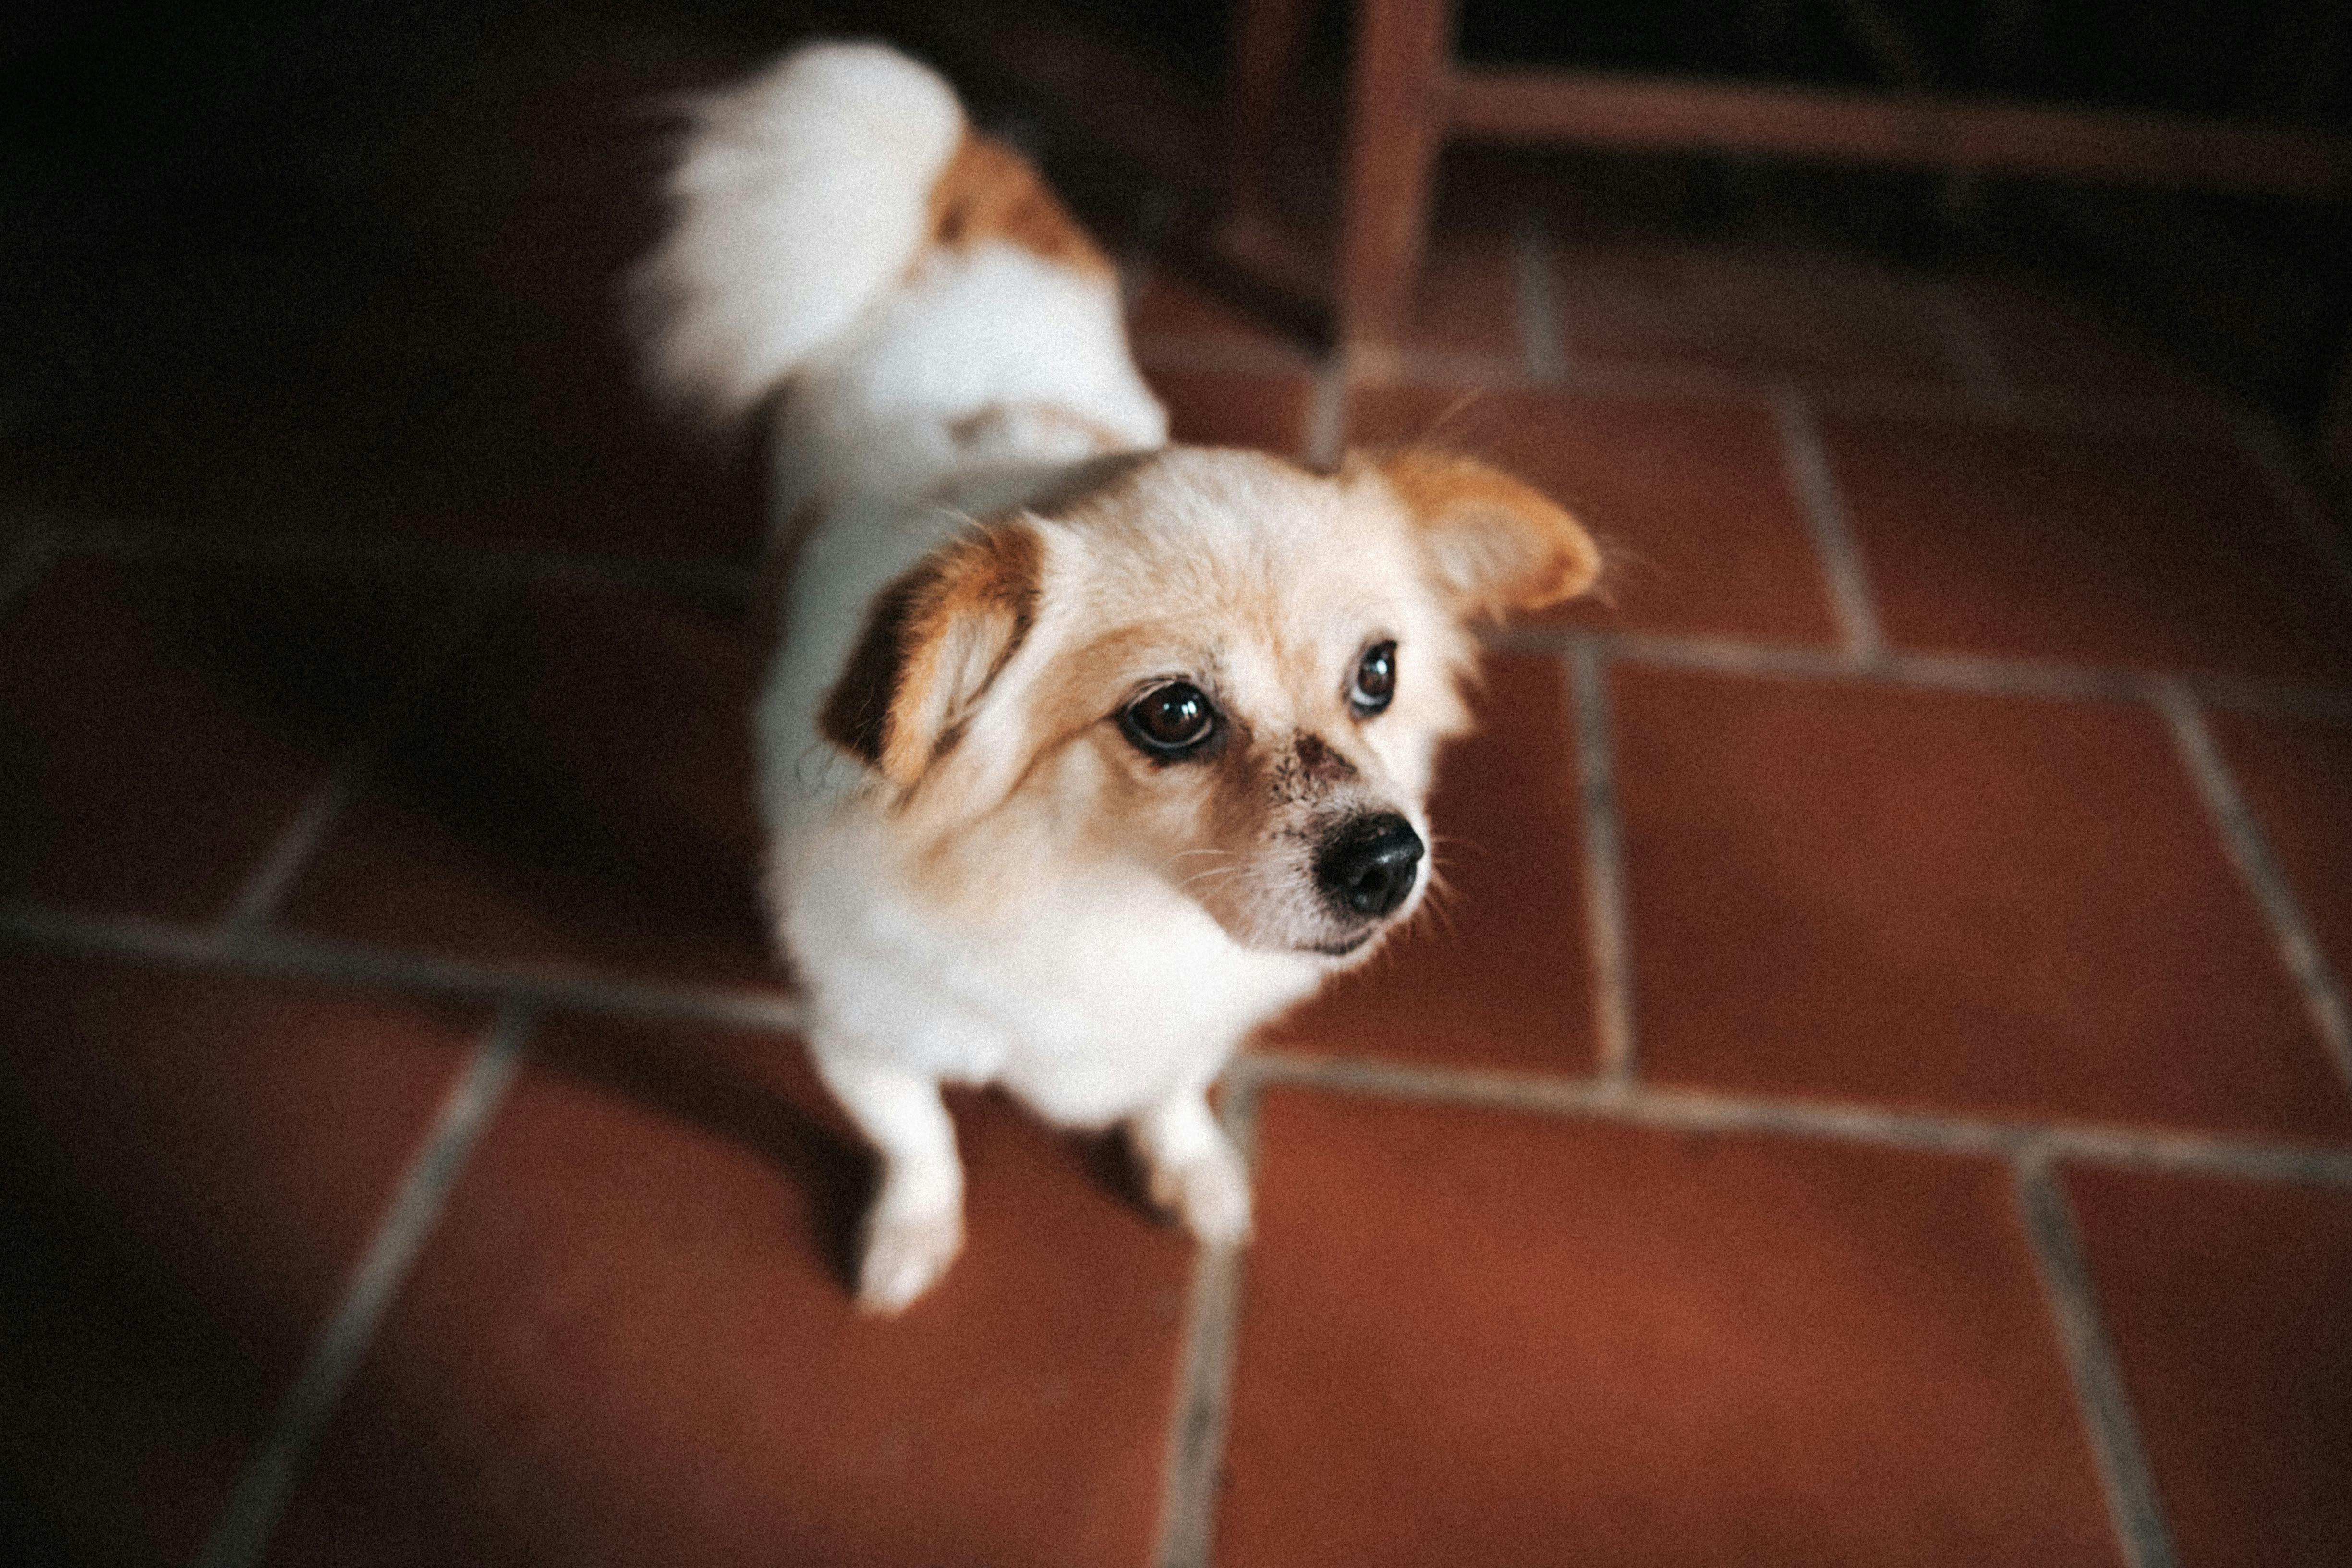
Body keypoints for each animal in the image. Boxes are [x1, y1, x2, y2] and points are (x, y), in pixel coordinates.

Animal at [635, 43, 1599, 1316]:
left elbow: (1169, 1093)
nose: (1388, 856)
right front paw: (910, 1237)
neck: (1106, 908)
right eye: (1173, 714)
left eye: (1378, 674)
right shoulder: (863, 1039)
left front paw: (1189, 1171)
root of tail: (950, 205)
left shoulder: (1184, 1030)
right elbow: (919, 1141)